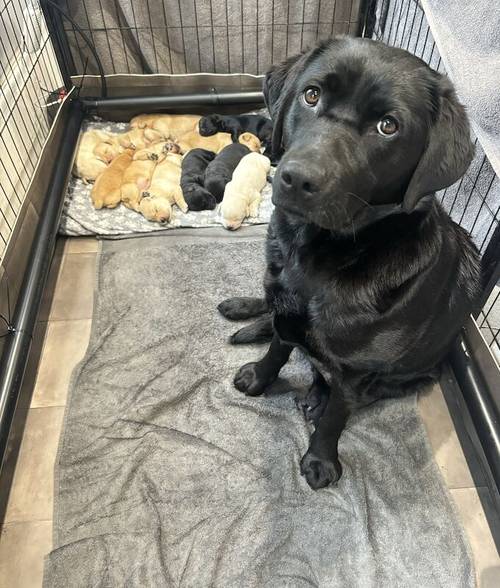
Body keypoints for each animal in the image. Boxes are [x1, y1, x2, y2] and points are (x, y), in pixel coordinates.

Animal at [218, 34, 480, 490]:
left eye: (388, 126)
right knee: (271, 309)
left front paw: (321, 458)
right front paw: (258, 377)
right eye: (311, 95)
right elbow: (277, 349)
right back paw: (246, 314)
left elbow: (338, 415)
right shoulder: (287, 308)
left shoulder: (356, 372)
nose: (297, 179)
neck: (317, 254)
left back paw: (314, 396)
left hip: (414, 375)